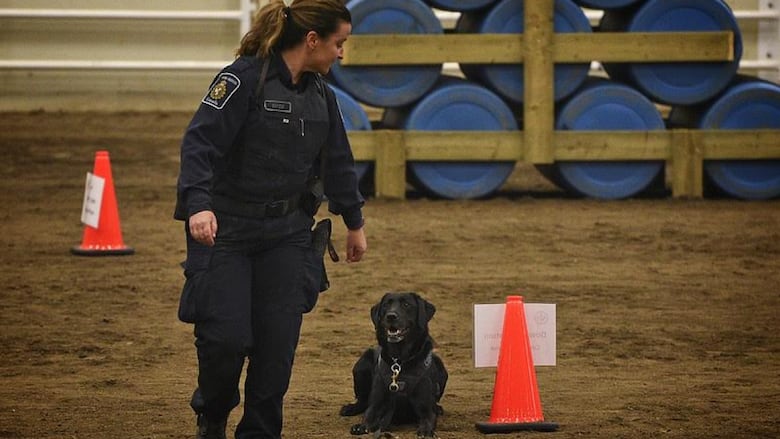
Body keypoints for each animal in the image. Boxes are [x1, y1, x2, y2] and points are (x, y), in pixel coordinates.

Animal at [340, 292, 448, 439]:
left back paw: (438, 408)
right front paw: (362, 426)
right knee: (362, 401)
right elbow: (368, 415)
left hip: (441, 367)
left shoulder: (425, 408)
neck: (399, 360)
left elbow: (428, 419)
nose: (391, 316)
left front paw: (426, 430)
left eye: (406, 304)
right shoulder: (377, 403)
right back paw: (350, 408)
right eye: (386, 305)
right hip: (361, 364)